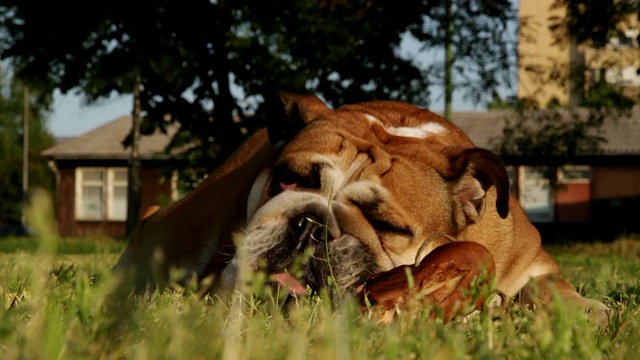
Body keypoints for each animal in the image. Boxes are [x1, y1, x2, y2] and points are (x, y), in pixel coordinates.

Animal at [114, 93, 608, 324]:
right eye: (287, 180)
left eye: (386, 224)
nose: (312, 224)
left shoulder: (531, 265)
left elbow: (549, 289)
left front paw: (588, 312)